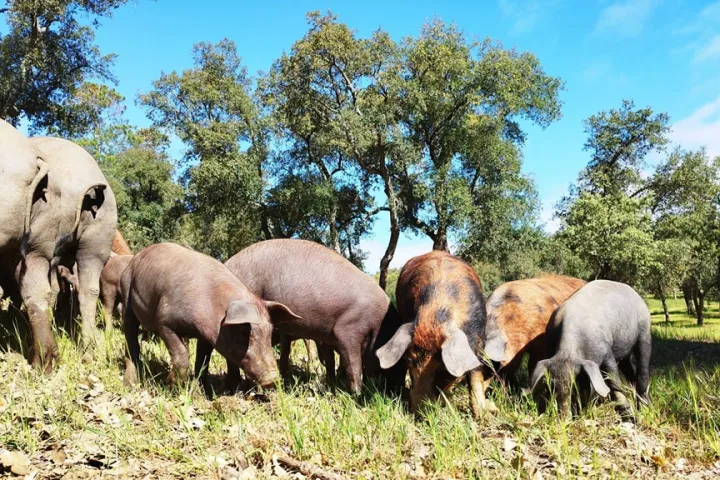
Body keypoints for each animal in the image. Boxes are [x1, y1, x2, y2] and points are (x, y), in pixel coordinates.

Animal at [120, 242, 300, 390]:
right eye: (244, 331)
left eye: (270, 332)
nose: (273, 379)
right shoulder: (163, 321)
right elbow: (181, 354)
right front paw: (171, 386)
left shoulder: (205, 335)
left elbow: (203, 361)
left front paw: (200, 390)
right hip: (127, 294)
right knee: (131, 340)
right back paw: (130, 383)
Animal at [224, 239, 406, 394]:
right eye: (400, 363)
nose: (398, 390)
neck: (380, 328)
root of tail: (227, 263)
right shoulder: (347, 330)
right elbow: (353, 365)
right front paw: (356, 394)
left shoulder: (326, 335)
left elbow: (330, 360)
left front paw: (332, 386)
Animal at [376, 251, 490, 418]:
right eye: (409, 364)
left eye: (442, 372)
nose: (418, 415)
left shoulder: (479, 340)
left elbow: (475, 375)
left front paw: (482, 416)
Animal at [529, 280, 652, 418]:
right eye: (552, 386)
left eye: (574, 385)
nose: (564, 418)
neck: (568, 350)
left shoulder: (606, 351)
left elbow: (613, 381)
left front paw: (630, 417)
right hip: (625, 353)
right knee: (630, 370)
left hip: (644, 330)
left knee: (643, 367)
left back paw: (645, 407)